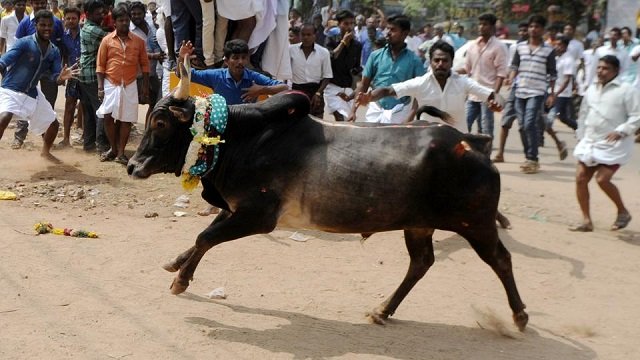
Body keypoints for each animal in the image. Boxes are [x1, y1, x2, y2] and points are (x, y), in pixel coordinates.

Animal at [127, 61, 528, 330]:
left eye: (160, 123)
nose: (132, 166)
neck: (242, 138)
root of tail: (471, 143)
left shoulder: (258, 216)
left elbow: (205, 237)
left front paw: (180, 281)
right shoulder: (237, 209)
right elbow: (202, 237)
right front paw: (176, 264)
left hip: (475, 224)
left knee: (501, 260)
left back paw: (520, 315)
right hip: (419, 225)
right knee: (421, 263)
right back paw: (382, 310)